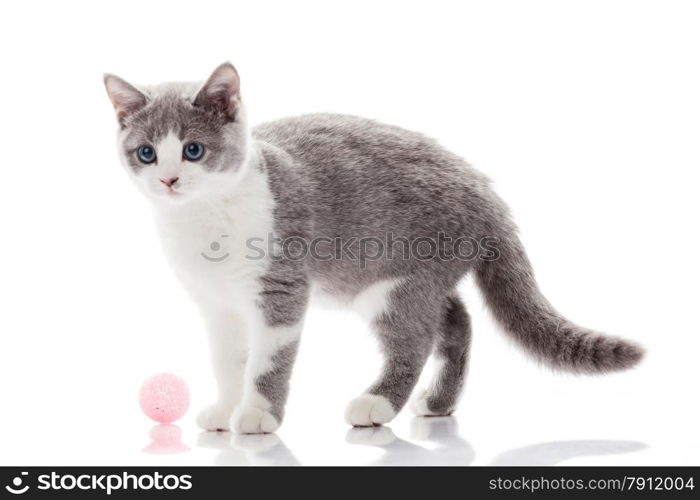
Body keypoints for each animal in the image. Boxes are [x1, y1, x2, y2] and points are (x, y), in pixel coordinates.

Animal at [104, 62, 644, 434]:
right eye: (146, 153)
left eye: (193, 150)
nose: (169, 179)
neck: (203, 220)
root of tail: (483, 187)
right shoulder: (216, 304)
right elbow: (227, 360)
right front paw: (225, 408)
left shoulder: (281, 289)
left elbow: (267, 361)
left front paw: (257, 414)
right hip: (408, 278)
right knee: (457, 321)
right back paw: (437, 402)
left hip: (394, 281)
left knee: (417, 337)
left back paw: (378, 402)